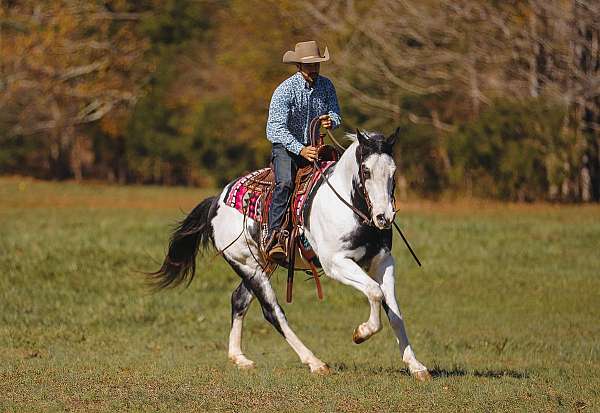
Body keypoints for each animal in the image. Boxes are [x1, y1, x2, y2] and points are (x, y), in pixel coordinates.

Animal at [150, 128, 432, 380]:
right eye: (366, 171)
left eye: (393, 172)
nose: (384, 217)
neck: (350, 206)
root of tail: (216, 200)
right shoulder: (336, 263)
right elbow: (374, 292)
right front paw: (361, 333)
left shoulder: (382, 261)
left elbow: (394, 312)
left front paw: (416, 366)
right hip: (248, 265)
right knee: (273, 312)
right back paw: (315, 362)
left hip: (260, 264)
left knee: (238, 299)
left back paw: (240, 358)